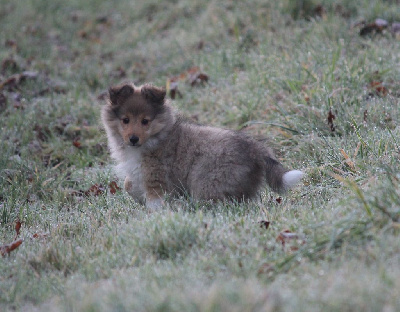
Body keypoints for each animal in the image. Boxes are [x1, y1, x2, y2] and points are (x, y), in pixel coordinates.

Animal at [101, 81, 304, 211]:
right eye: (125, 120)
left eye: (145, 121)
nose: (133, 139)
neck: (156, 137)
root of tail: (255, 148)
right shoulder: (138, 172)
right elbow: (128, 184)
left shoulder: (157, 178)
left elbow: (154, 202)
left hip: (207, 181)